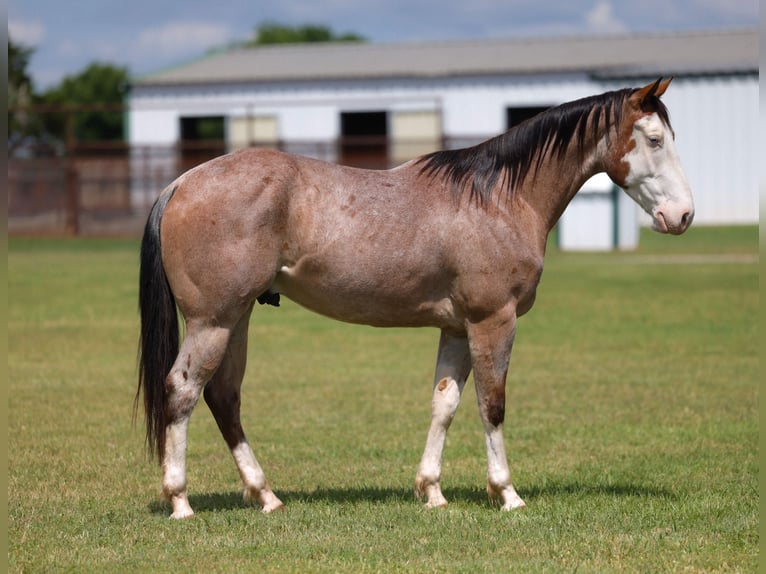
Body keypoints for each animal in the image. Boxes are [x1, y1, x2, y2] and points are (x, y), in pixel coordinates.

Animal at [137, 78, 693, 519]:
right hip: (213, 322)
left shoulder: (456, 328)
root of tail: (181, 182)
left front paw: (432, 491)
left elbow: (444, 403)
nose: (683, 216)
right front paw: (506, 494)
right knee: (182, 391)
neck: (497, 198)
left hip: (237, 320)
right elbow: (492, 405)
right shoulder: (493, 321)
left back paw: (266, 495)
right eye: (654, 139)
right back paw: (180, 501)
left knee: (223, 398)